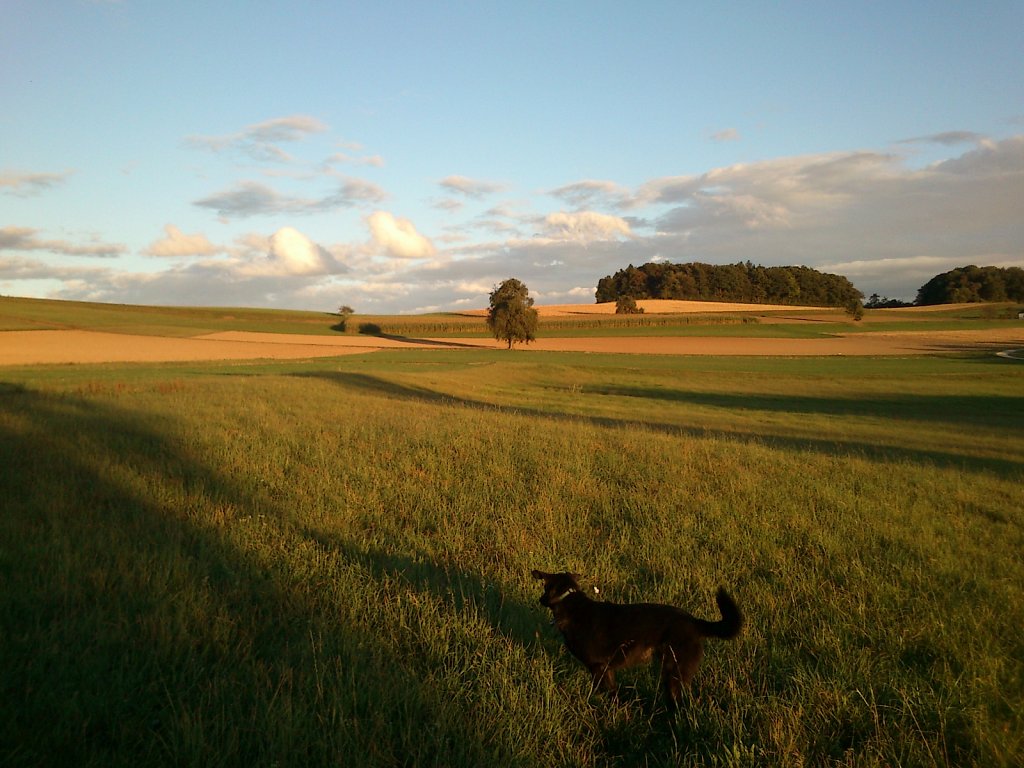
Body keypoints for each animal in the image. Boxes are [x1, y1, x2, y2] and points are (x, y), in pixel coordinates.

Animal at [532, 573, 741, 708]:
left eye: (545, 587)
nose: (540, 600)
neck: (571, 603)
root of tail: (694, 621)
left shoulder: (598, 668)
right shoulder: (607, 670)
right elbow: (613, 694)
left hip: (673, 672)